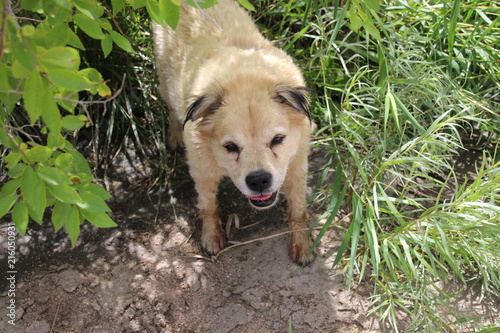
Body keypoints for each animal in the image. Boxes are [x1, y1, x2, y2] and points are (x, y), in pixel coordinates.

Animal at [154, 0, 314, 264]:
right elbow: (208, 206)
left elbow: (299, 210)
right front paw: (211, 238)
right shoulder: (202, 170)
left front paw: (302, 245)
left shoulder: (296, 166)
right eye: (230, 147)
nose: (259, 180)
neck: (245, 78)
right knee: (169, 106)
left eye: (278, 140)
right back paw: (174, 136)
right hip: (164, 77)